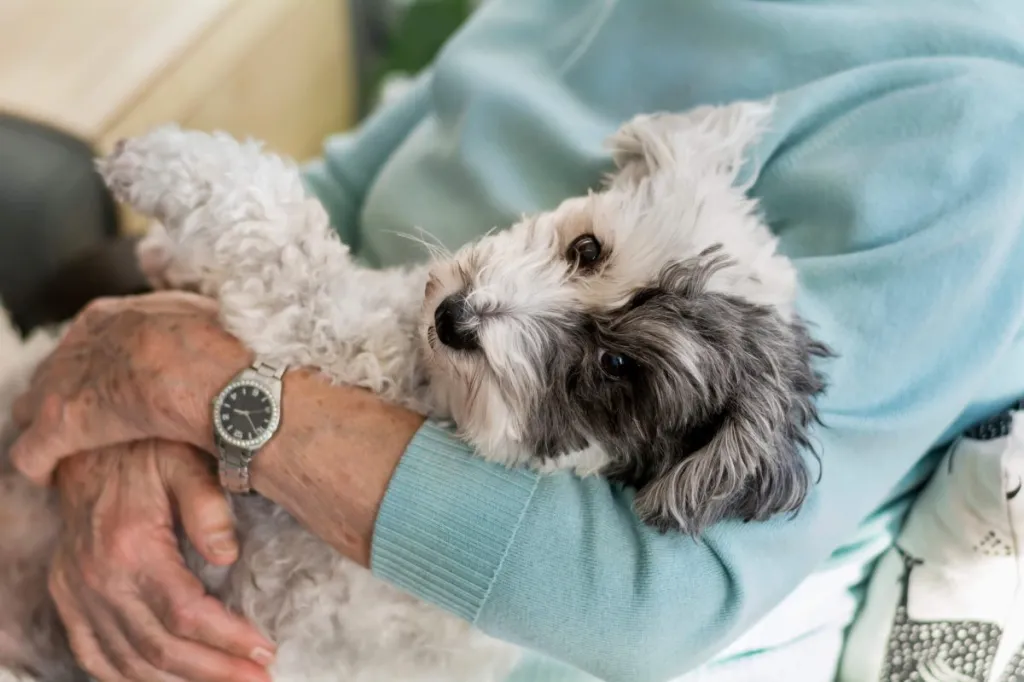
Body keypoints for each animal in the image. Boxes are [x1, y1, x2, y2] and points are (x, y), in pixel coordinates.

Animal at [0, 100, 827, 679]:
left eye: (617, 369)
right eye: (588, 249)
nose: (454, 317)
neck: (436, 386)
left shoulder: (326, 328)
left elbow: (278, 220)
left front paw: (157, 162)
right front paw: (167, 255)